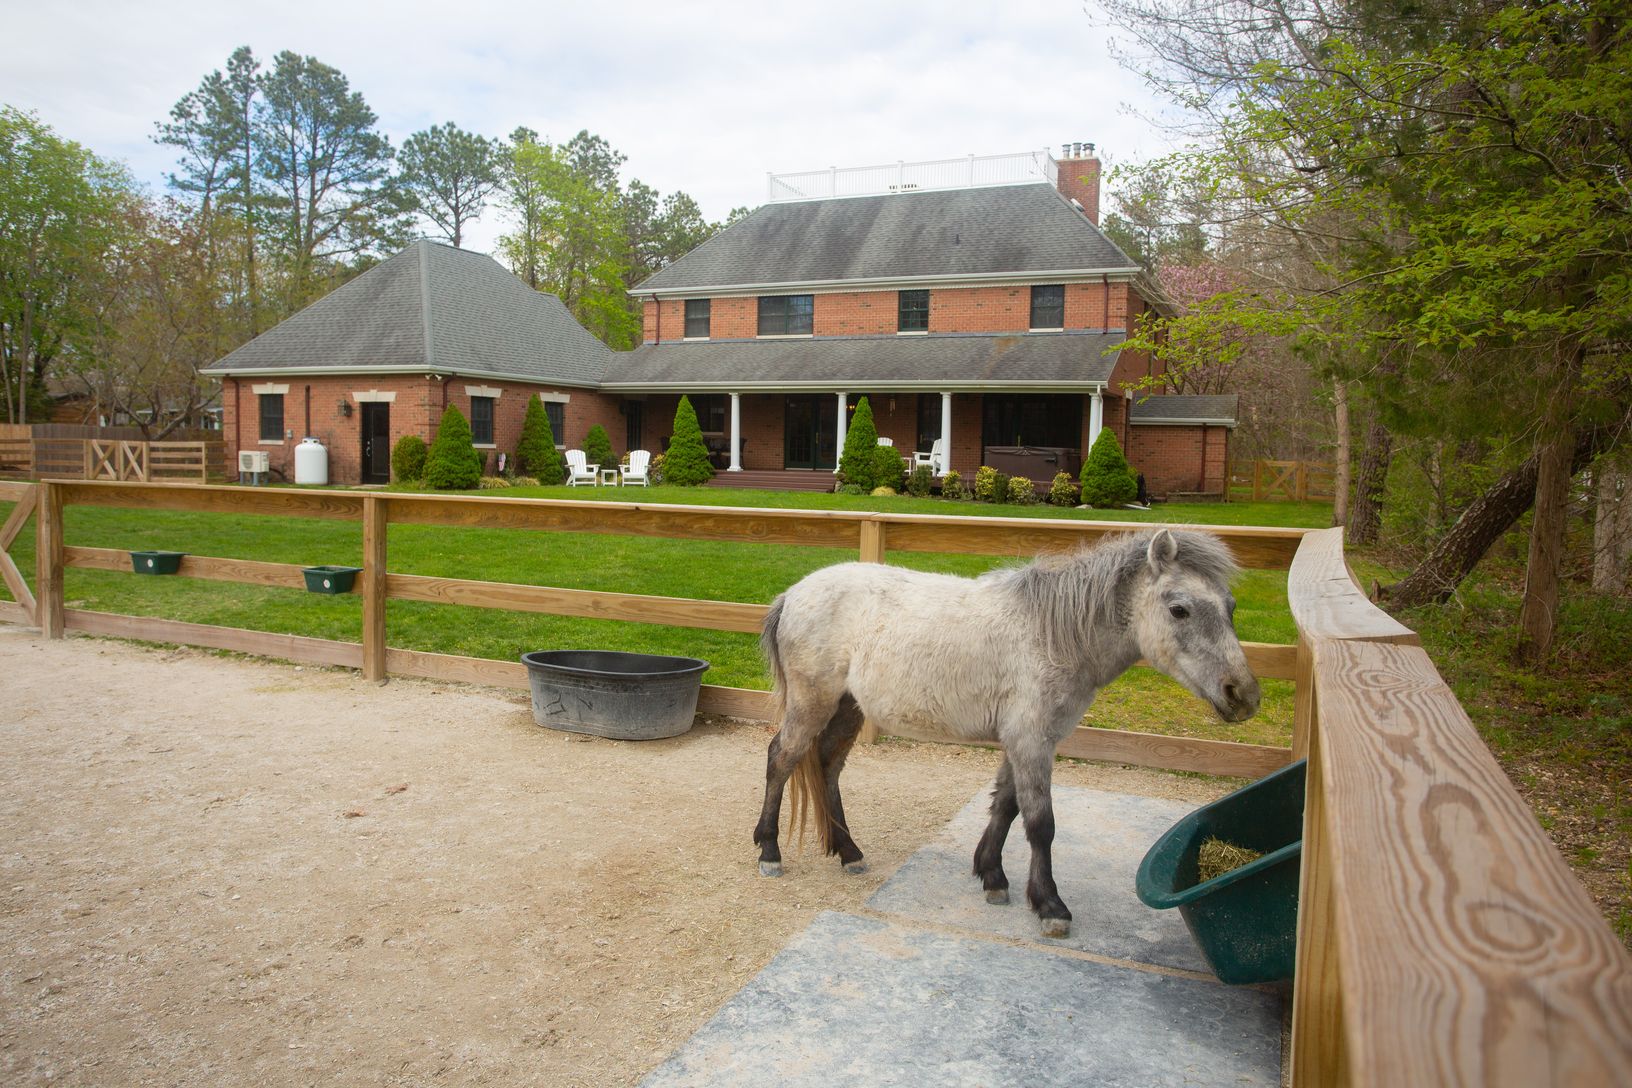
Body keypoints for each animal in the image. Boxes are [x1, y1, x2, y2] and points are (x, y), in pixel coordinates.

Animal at [752, 527, 1261, 939]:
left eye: (1232, 607)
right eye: (1179, 609)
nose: (1243, 695)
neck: (1053, 634)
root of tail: (793, 594)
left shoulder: (1028, 740)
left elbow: (1006, 805)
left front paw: (991, 875)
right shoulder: (1031, 740)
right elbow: (1040, 823)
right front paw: (1050, 905)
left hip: (847, 708)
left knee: (827, 765)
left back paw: (849, 852)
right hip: (812, 704)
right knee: (781, 759)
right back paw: (770, 852)